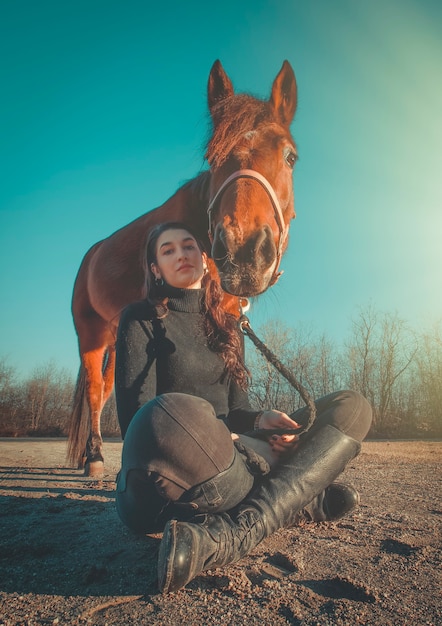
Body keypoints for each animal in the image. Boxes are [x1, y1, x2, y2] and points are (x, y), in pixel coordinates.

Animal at [67, 62, 298, 472]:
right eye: (213, 157)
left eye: (290, 157)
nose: (244, 252)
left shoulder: (228, 315)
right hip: (89, 333)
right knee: (95, 391)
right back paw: (94, 457)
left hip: (116, 334)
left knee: (108, 388)